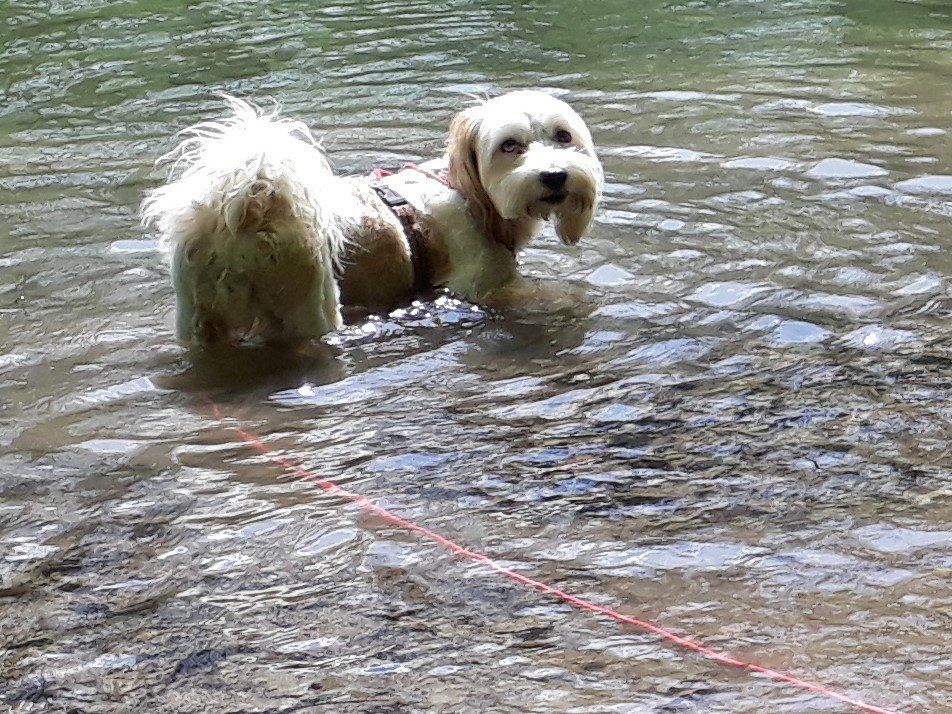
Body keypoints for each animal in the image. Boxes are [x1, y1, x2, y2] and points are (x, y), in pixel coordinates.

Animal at [141, 90, 603, 346]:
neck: (472, 196)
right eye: (509, 145)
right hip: (310, 305)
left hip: (198, 318)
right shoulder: (480, 288)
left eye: (563, 136)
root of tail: (248, 211)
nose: (554, 175)